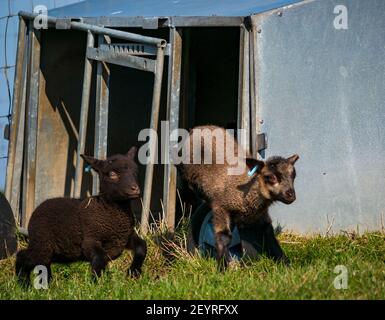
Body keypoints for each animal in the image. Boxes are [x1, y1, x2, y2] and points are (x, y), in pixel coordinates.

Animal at [15, 146, 146, 286]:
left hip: (53, 251)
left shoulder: (126, 237)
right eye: (112, 174)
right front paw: (96, 285)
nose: (135, 189)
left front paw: (133, 273)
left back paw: (45, 284)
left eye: (135, 172)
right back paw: (23, 284)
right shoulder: (90, 240)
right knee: (24, 256)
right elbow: (100, 259)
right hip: (42, 244)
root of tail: (37, 209)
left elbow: (142, 247)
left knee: (42, 264)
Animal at [176, 125, 298, 270]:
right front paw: (222, 268)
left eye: (293, 175)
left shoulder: (260, 216)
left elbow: (269, 235)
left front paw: (286, 265)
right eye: (271, 177)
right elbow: (223, 237)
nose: (291, 195)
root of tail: (201, 127)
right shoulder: (220, 206)